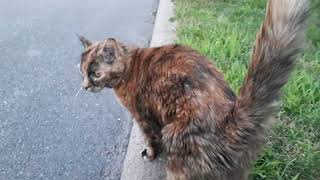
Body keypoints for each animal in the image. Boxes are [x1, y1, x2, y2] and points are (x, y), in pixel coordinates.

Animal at [77, 0, 308, 179]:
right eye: (82, 71)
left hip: (177, 144)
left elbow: (151, 140)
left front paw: (150, 154)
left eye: (95, 74)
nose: (85, 86)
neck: (130, 65)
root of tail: (232, 118)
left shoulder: (143, 117)